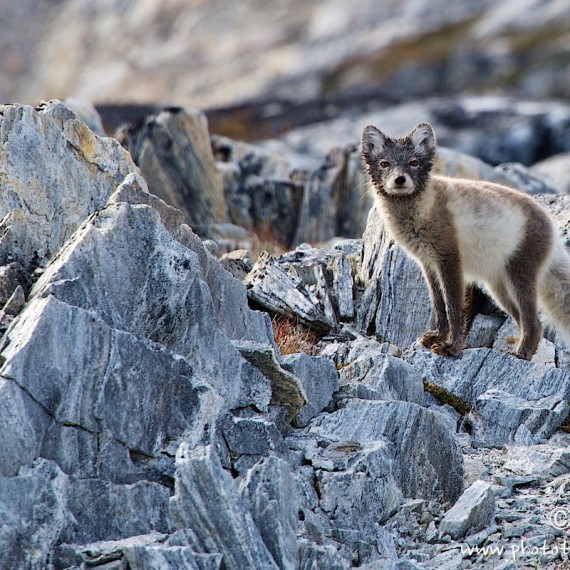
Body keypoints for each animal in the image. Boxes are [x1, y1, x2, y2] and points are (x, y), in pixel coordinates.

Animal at [360, 123, 568, 360]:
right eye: (384, 164)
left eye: (413, 163)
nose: (400, 180)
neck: (421, 210)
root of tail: (551, 223)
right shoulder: (428, 263)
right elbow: (438, 305)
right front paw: (437, 337)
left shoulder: (449, 258)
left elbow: (453, 307)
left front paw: (452, 347)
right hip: (499, 290)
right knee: (529, 322)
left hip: (520, 277)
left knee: (533, 321)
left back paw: (521, 354)